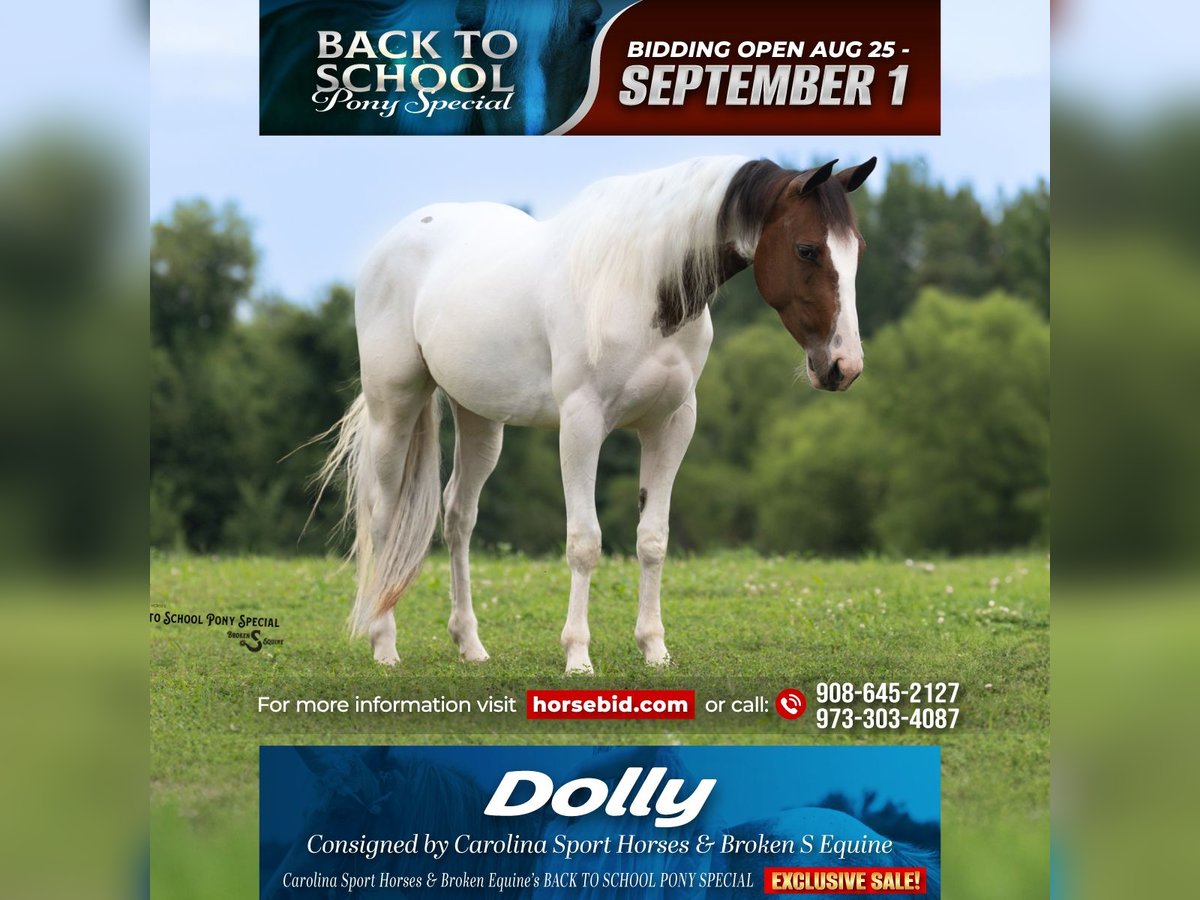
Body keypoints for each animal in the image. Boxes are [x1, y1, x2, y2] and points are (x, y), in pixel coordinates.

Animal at [316, 153, 877, 672]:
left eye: (858, 251)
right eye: (806, 249)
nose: (844, 366)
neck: (641, 286)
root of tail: (398, 238)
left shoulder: (670, 426)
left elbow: (653, 539)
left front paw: (654, 648)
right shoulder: (582, 425)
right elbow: (585, 542)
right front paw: (577, 655)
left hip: (479, 418)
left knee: (458, 515)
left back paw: (470, 645)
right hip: (395, 405)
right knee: (384, 514)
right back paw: (384, 644)